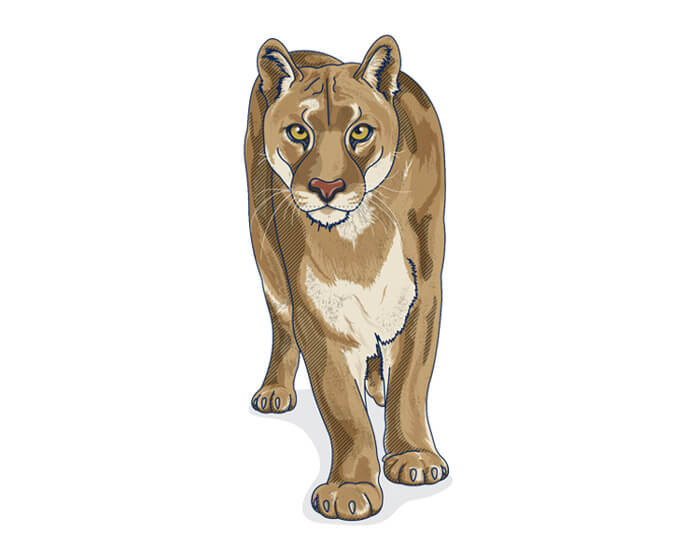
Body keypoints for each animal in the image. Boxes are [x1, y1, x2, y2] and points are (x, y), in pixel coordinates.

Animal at [245, 35, 447, 520]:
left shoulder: (422, 295)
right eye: (299, 132)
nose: (326, 187)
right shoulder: (317, 310)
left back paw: (377, 386)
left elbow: (411, 382)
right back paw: (275, 391)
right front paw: (350, 488)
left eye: (360, 132)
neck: (359, 238)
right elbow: (343, 406)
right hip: (266, 257)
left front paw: (413, 457)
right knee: (281, 326)